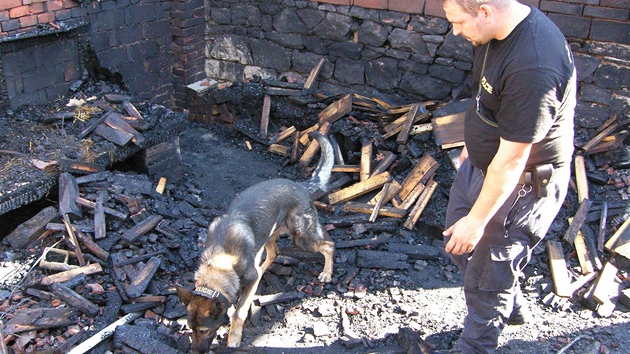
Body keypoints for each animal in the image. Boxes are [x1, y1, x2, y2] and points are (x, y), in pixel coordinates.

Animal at [178, 132, 336, 352]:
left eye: (204, 330)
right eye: (190, 328)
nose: (194, 351)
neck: (220, 258)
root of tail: (301, 185)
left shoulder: (246, 280)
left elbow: (238, 312)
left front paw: (233, 338)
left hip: (301, 238)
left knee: (328, 245)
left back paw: (326, 273)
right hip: (267, 235)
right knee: (274, 253)